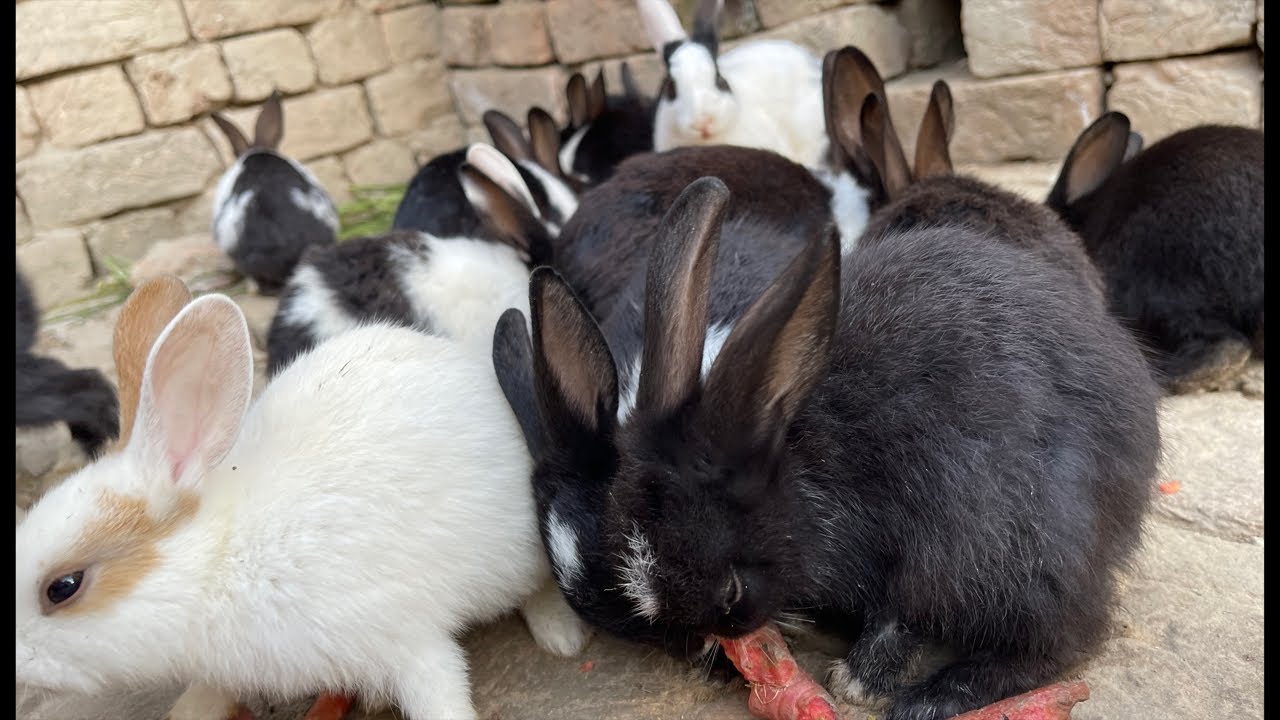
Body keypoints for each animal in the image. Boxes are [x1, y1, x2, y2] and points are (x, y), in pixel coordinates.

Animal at [494, 159, 1161, 720]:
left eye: (731, 590)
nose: (713, 647)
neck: (799, 466)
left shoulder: (940, 531)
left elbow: (904, 614)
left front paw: (858, 681)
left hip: (1028, 547)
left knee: (1066, 637)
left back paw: (933, 699)